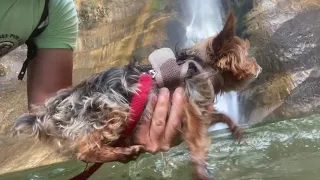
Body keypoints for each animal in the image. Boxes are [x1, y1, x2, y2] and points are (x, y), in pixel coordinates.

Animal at [13, 11, 262, 179]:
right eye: (247, 55)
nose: (258, 65)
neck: (198, 65)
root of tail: (47, 113)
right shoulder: (192, 111)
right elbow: (199, 144)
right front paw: (201, 170)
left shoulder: (199, 108)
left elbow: (219, 116)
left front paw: (235, 128)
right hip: (111, 111)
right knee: (86, 151)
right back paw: (123, 153)